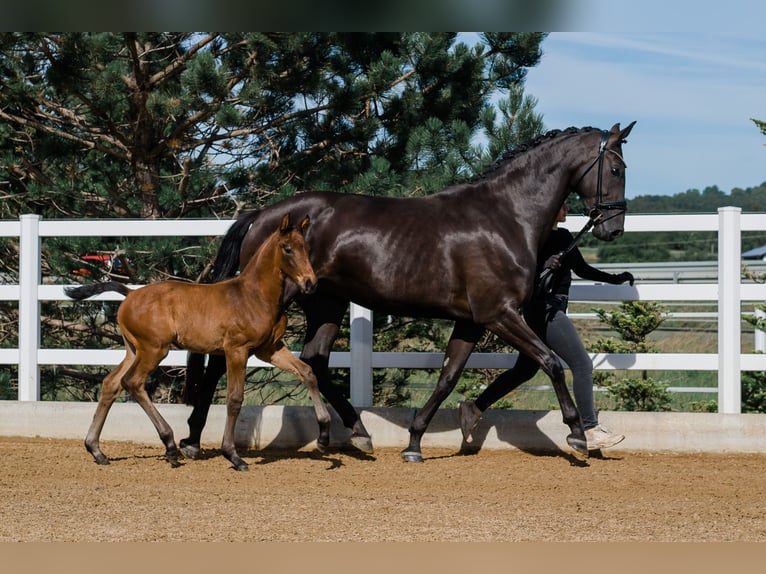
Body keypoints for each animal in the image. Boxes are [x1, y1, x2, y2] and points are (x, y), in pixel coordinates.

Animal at [65, 214, 325, 471]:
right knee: (133, 382)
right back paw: (170, 446)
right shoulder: (236, 351)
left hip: (133, 349)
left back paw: (96, 450)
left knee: (111, 383)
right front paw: (233, 456)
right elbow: (234, 399)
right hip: (154, 349)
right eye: (287, 248)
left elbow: (307, 372)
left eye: (307, 247)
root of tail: (130, 294)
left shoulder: (270, 349)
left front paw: (324, 432)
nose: (310, 283)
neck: (254, 296)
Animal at [182, 122, 636, 463]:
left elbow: (449, 377)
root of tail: (263, 215)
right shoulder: (498, 313)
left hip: (326, 302)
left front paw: (415, 442)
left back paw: (357, 433)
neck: (504, 216)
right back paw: (191, 439)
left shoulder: (471, 321)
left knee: (315, 360)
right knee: (226, 360)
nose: (613, 228)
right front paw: (577, 435)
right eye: (616, 170)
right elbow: (551, 362)